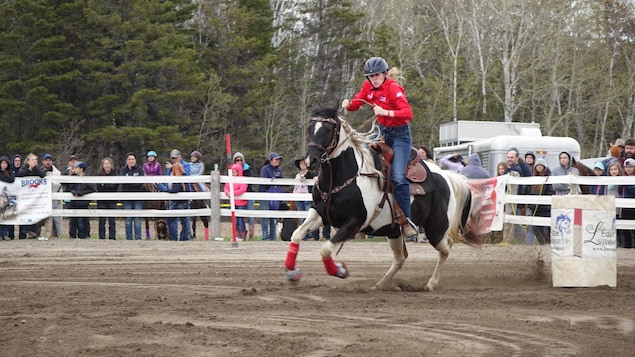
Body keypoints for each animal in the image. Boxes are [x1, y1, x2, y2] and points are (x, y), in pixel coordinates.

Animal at [284, 107, 482, 290]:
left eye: (327, 129)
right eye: (310, 128)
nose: (311, 161)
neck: (342, 178)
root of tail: (447, 176)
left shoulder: (354, 223)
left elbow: (325, 249)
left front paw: (340, 270)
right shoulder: (320, 214)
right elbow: (296, 234)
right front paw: (292, 273)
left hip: (436, 228)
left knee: (446, 248)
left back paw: (431, 284)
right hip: (394, 232)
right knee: (401, 258)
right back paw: (380, 285)